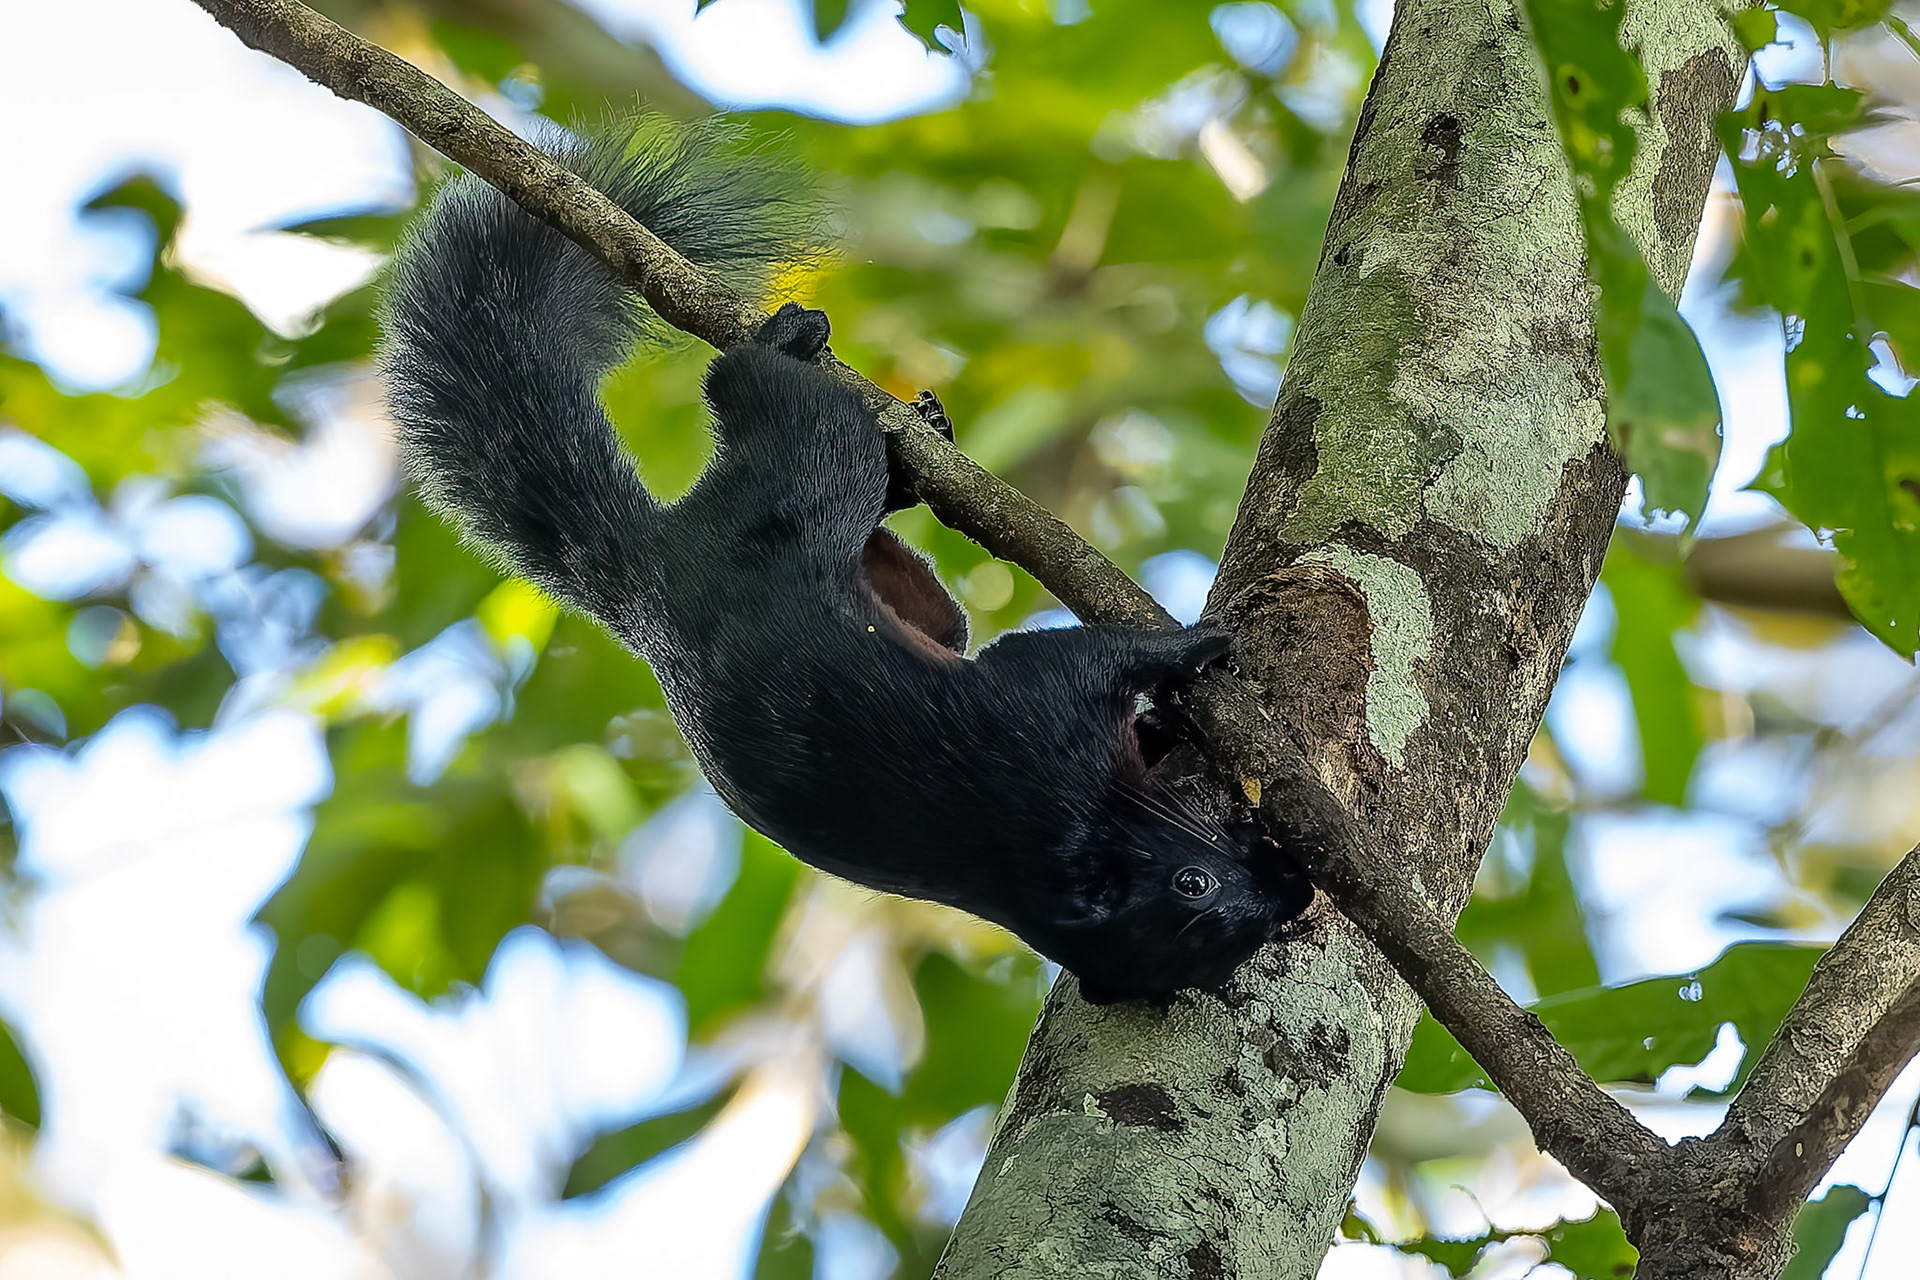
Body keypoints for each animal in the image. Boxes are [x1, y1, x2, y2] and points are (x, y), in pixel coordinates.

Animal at [379, 119, 1310, 1004]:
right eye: (1192, 887)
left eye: (1240, 948)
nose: (1294, 893)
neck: (1047, 848)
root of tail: (646, 572)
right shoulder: (1041, 721)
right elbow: (1079, 657)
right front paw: (1192, 644)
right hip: (814, 465)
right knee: (754, 391)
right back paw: (790, 341)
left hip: (918, 595)